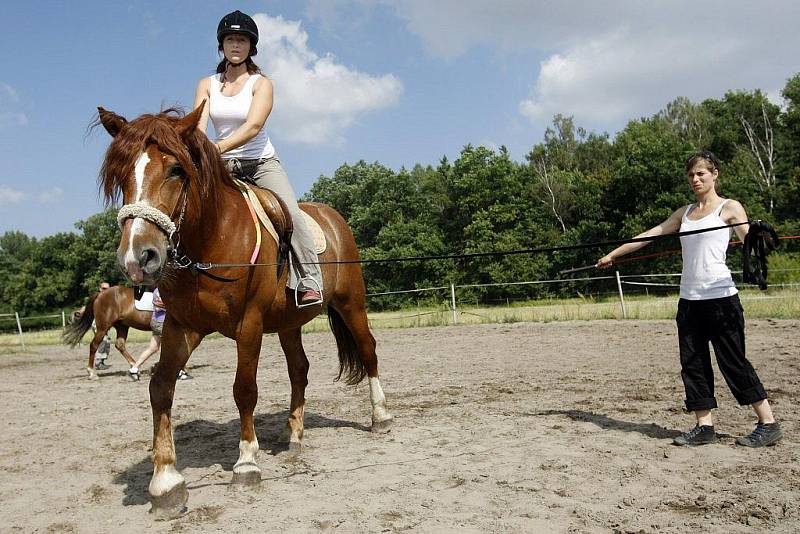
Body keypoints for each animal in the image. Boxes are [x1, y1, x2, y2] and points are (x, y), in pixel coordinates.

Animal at [97, 104, 394, 520]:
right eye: (122, 174)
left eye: (176, 170)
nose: (139, 257)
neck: (211, 240)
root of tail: (334, 218)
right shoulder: (181, 326)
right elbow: (160, 387)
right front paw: (165, 482)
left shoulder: (248, 325)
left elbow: (244, 390)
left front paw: (247, 464)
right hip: (289, 323)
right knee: (299, 370)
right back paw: (294, 435)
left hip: (352, 304)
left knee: (368, 352)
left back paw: (380, 417)